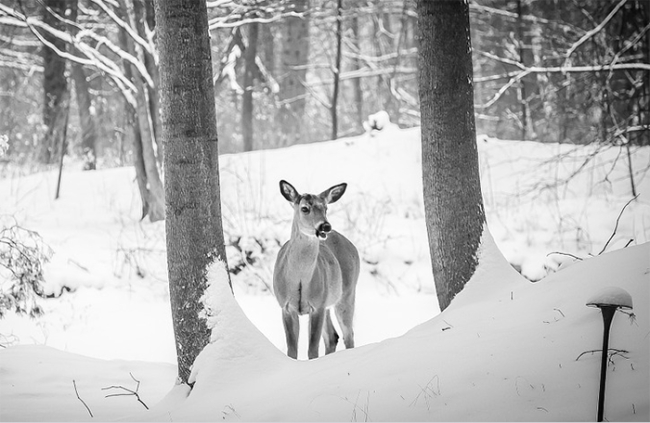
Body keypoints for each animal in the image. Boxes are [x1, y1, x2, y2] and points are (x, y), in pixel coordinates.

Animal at [273, 180, 360, 360]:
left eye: (326, 208)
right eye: (305, 208)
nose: (325, 226)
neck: (299, 278)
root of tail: (351, 245)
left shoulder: (317, 306)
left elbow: (312, 350)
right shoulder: (285, 306)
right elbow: (292, 350)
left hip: (347, 294)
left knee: (348, 335)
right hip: (328, 302)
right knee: (333, 337)